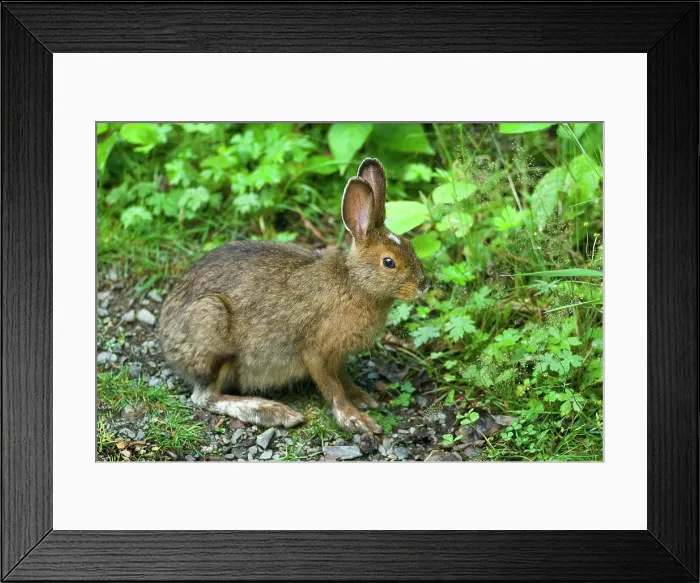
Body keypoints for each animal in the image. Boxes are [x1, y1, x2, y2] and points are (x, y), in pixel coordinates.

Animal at [157, 158, 429, 434]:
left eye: (409, 244)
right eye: (389, 262)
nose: (424, 285)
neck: (354, 283)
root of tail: (167, 343)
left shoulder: (337, 357)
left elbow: (343, 379)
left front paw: (361, 398)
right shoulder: (316, 352)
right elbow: (332, 389)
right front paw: (354, 420)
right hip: (211, 325)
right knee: (206, 397)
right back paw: (271, 412)